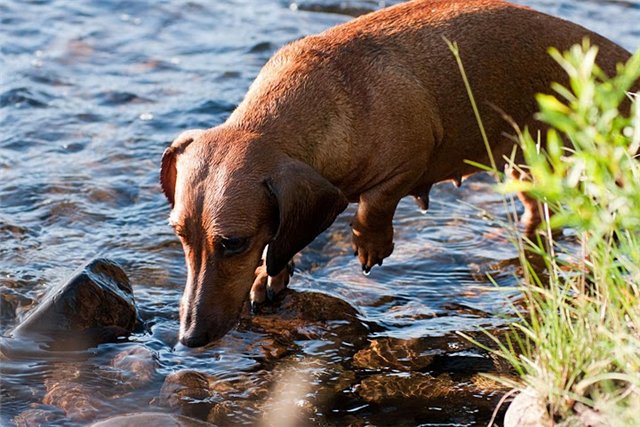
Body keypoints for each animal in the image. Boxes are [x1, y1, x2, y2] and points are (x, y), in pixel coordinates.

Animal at [159, 0, 632, 348]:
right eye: (180, 235)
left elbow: (374, 205)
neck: (334, 93)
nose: (188, 339)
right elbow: (282, 242)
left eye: (233, 243)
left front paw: (370, 243)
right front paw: (268, 278)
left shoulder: (409, 161)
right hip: (526, 166)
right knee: (540, 217)